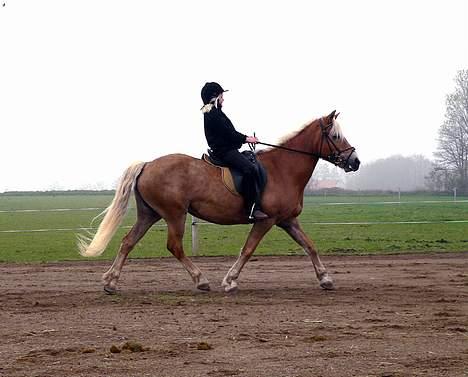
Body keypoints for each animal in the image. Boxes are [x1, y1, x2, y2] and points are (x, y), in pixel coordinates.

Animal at [78, 110, 360, 292]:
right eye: (335, 137)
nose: (355, 161)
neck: (283, 169)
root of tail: (147, 164)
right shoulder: (266, 221)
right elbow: (248, 250)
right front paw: (230, 281)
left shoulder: (287, 220)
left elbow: (309, 246)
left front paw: (325, 279)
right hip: (175, 214)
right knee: (174, 246)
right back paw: (200, 280)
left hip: (150, 214)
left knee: (128, 242)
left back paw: (111, 282)